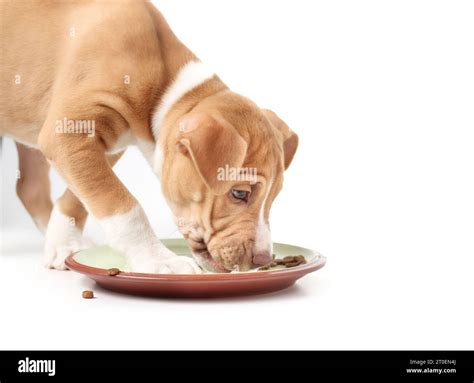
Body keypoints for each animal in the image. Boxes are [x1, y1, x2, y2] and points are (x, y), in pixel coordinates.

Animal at [0, 1, 298, 274]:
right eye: (239, 193)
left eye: (274, 196)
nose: (262, 259)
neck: (165, 86)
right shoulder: (68, 134)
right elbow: (123, 207)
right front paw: (159, 261)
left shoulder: (102, 148)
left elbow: (77, 198)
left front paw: (64, 244)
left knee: (30, 188)